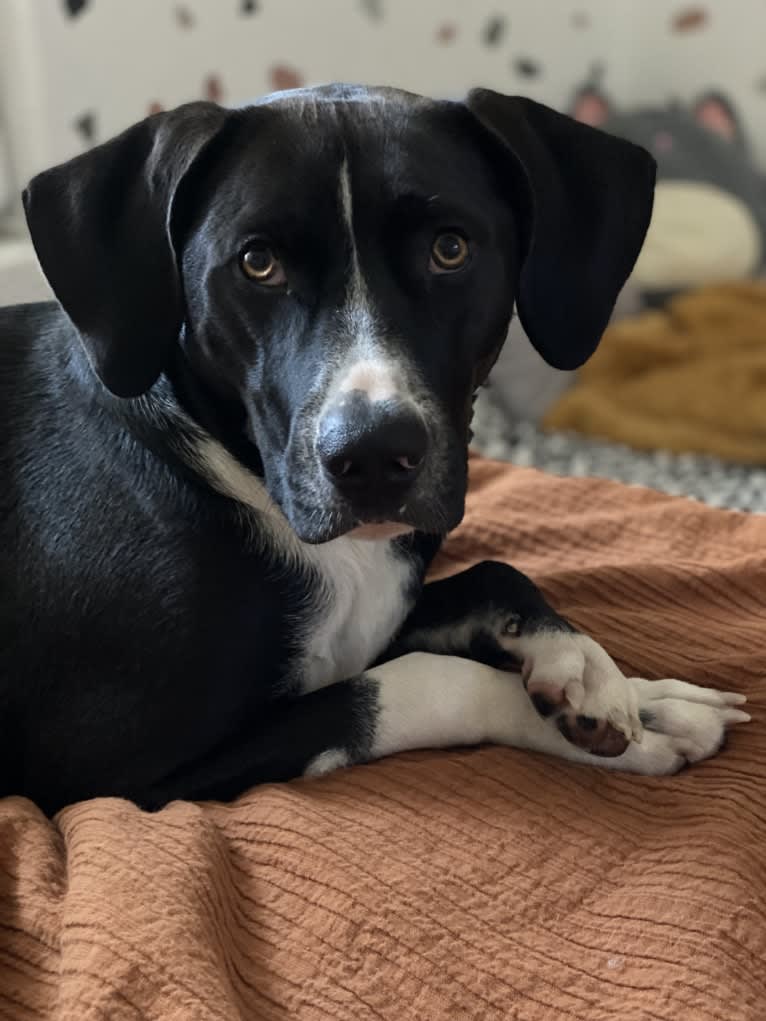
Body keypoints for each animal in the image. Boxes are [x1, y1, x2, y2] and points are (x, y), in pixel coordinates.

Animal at [0, 85, 751, 812]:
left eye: (450, 249)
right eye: (258, 263)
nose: (371, 456)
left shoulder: (379, 615)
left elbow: (493, 573)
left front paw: (610, 678)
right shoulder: (116, 775)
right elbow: (413, 683)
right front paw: (626, 718)